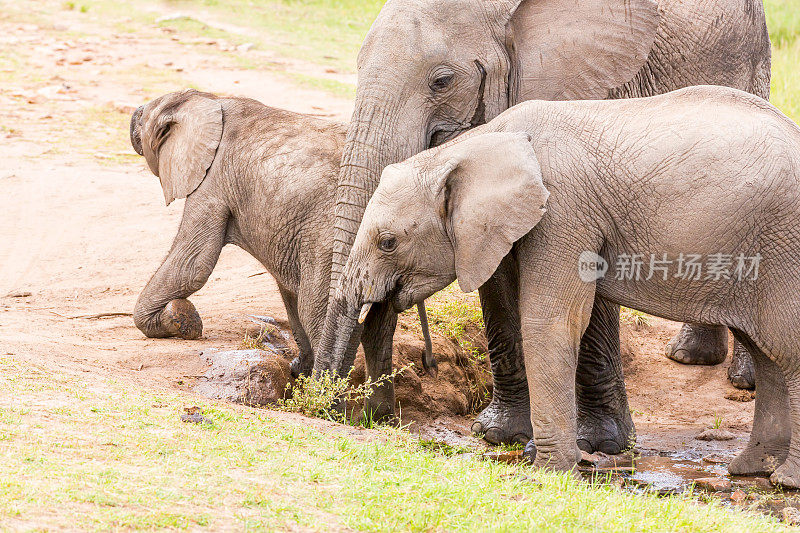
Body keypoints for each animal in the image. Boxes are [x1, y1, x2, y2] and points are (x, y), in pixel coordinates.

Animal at [312, 0, 768, 448]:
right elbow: (495, 276)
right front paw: (498, 434)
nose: (333, 412)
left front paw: (600, 443)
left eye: (442, 81)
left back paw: (744, 380)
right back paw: (690, 357)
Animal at [338, 86, 800, 486]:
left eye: (388, 242)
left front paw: (547, 472)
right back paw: (750, 469)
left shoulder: (563, 212)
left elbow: (549, 322)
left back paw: (783, 480)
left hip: (783, 248)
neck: (475, 145)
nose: (374, 418)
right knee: (768, 354)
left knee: (785, 349)